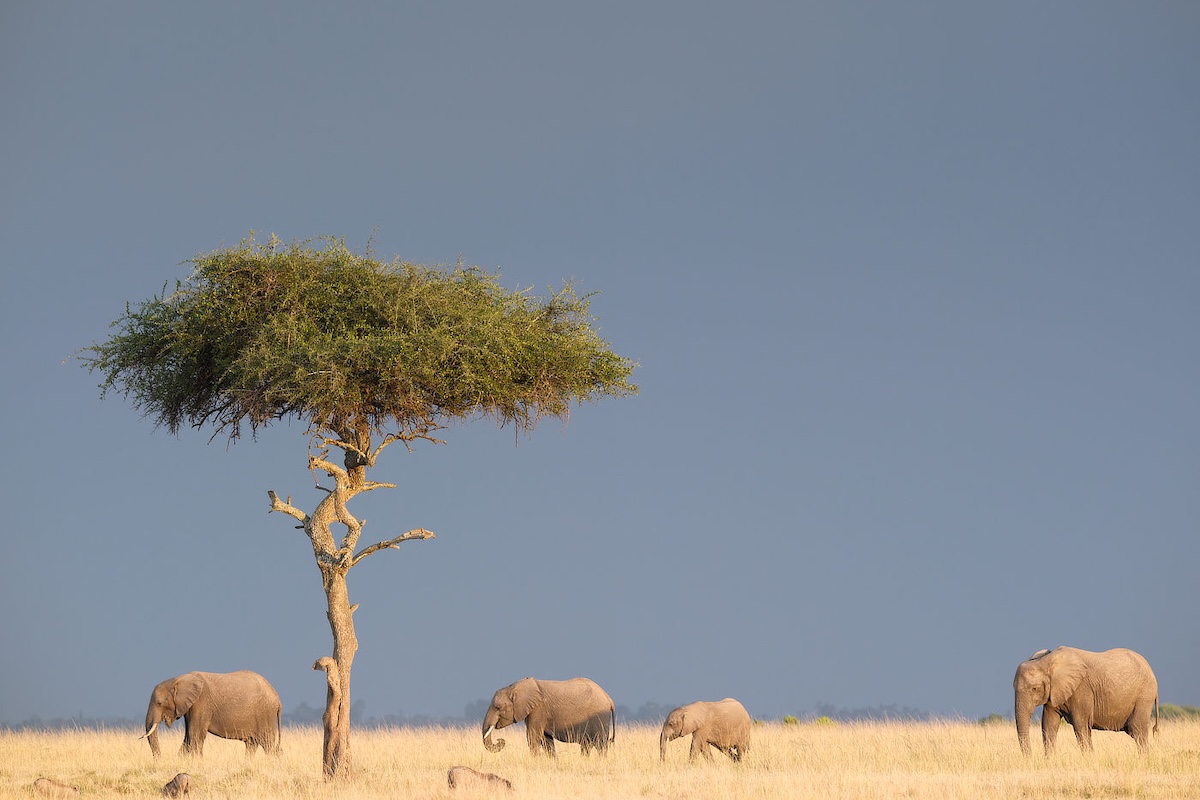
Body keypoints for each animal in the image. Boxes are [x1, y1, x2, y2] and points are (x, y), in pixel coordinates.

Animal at [142, 670, 281, 757]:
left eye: (159, 703)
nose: (159, 759)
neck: (178, 679)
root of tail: (278, 700)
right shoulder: (191, 706)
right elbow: (188, 736)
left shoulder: (201, 702)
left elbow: (195, 734)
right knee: (252, 744)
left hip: (265, 714)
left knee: (268, 745)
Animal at [481, 677, 615, 756]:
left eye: (498, 707)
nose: (500, 740)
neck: (514, 687)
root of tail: (609, 698)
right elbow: (546, 740)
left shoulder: (538, 709)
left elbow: (533, 736)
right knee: (586, 745)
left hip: (600, 717)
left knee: (600, 744)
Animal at [1013, 647, 1159, 755]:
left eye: (1034, 689)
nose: (1030, 757)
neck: (1044, 661)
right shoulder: (1054, 692)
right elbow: (1049, 724)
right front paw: (1050, 760)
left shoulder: (1082, 689)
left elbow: (1080, 725)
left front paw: (1089, 757)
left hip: (1144, 697)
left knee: (1138, 731)